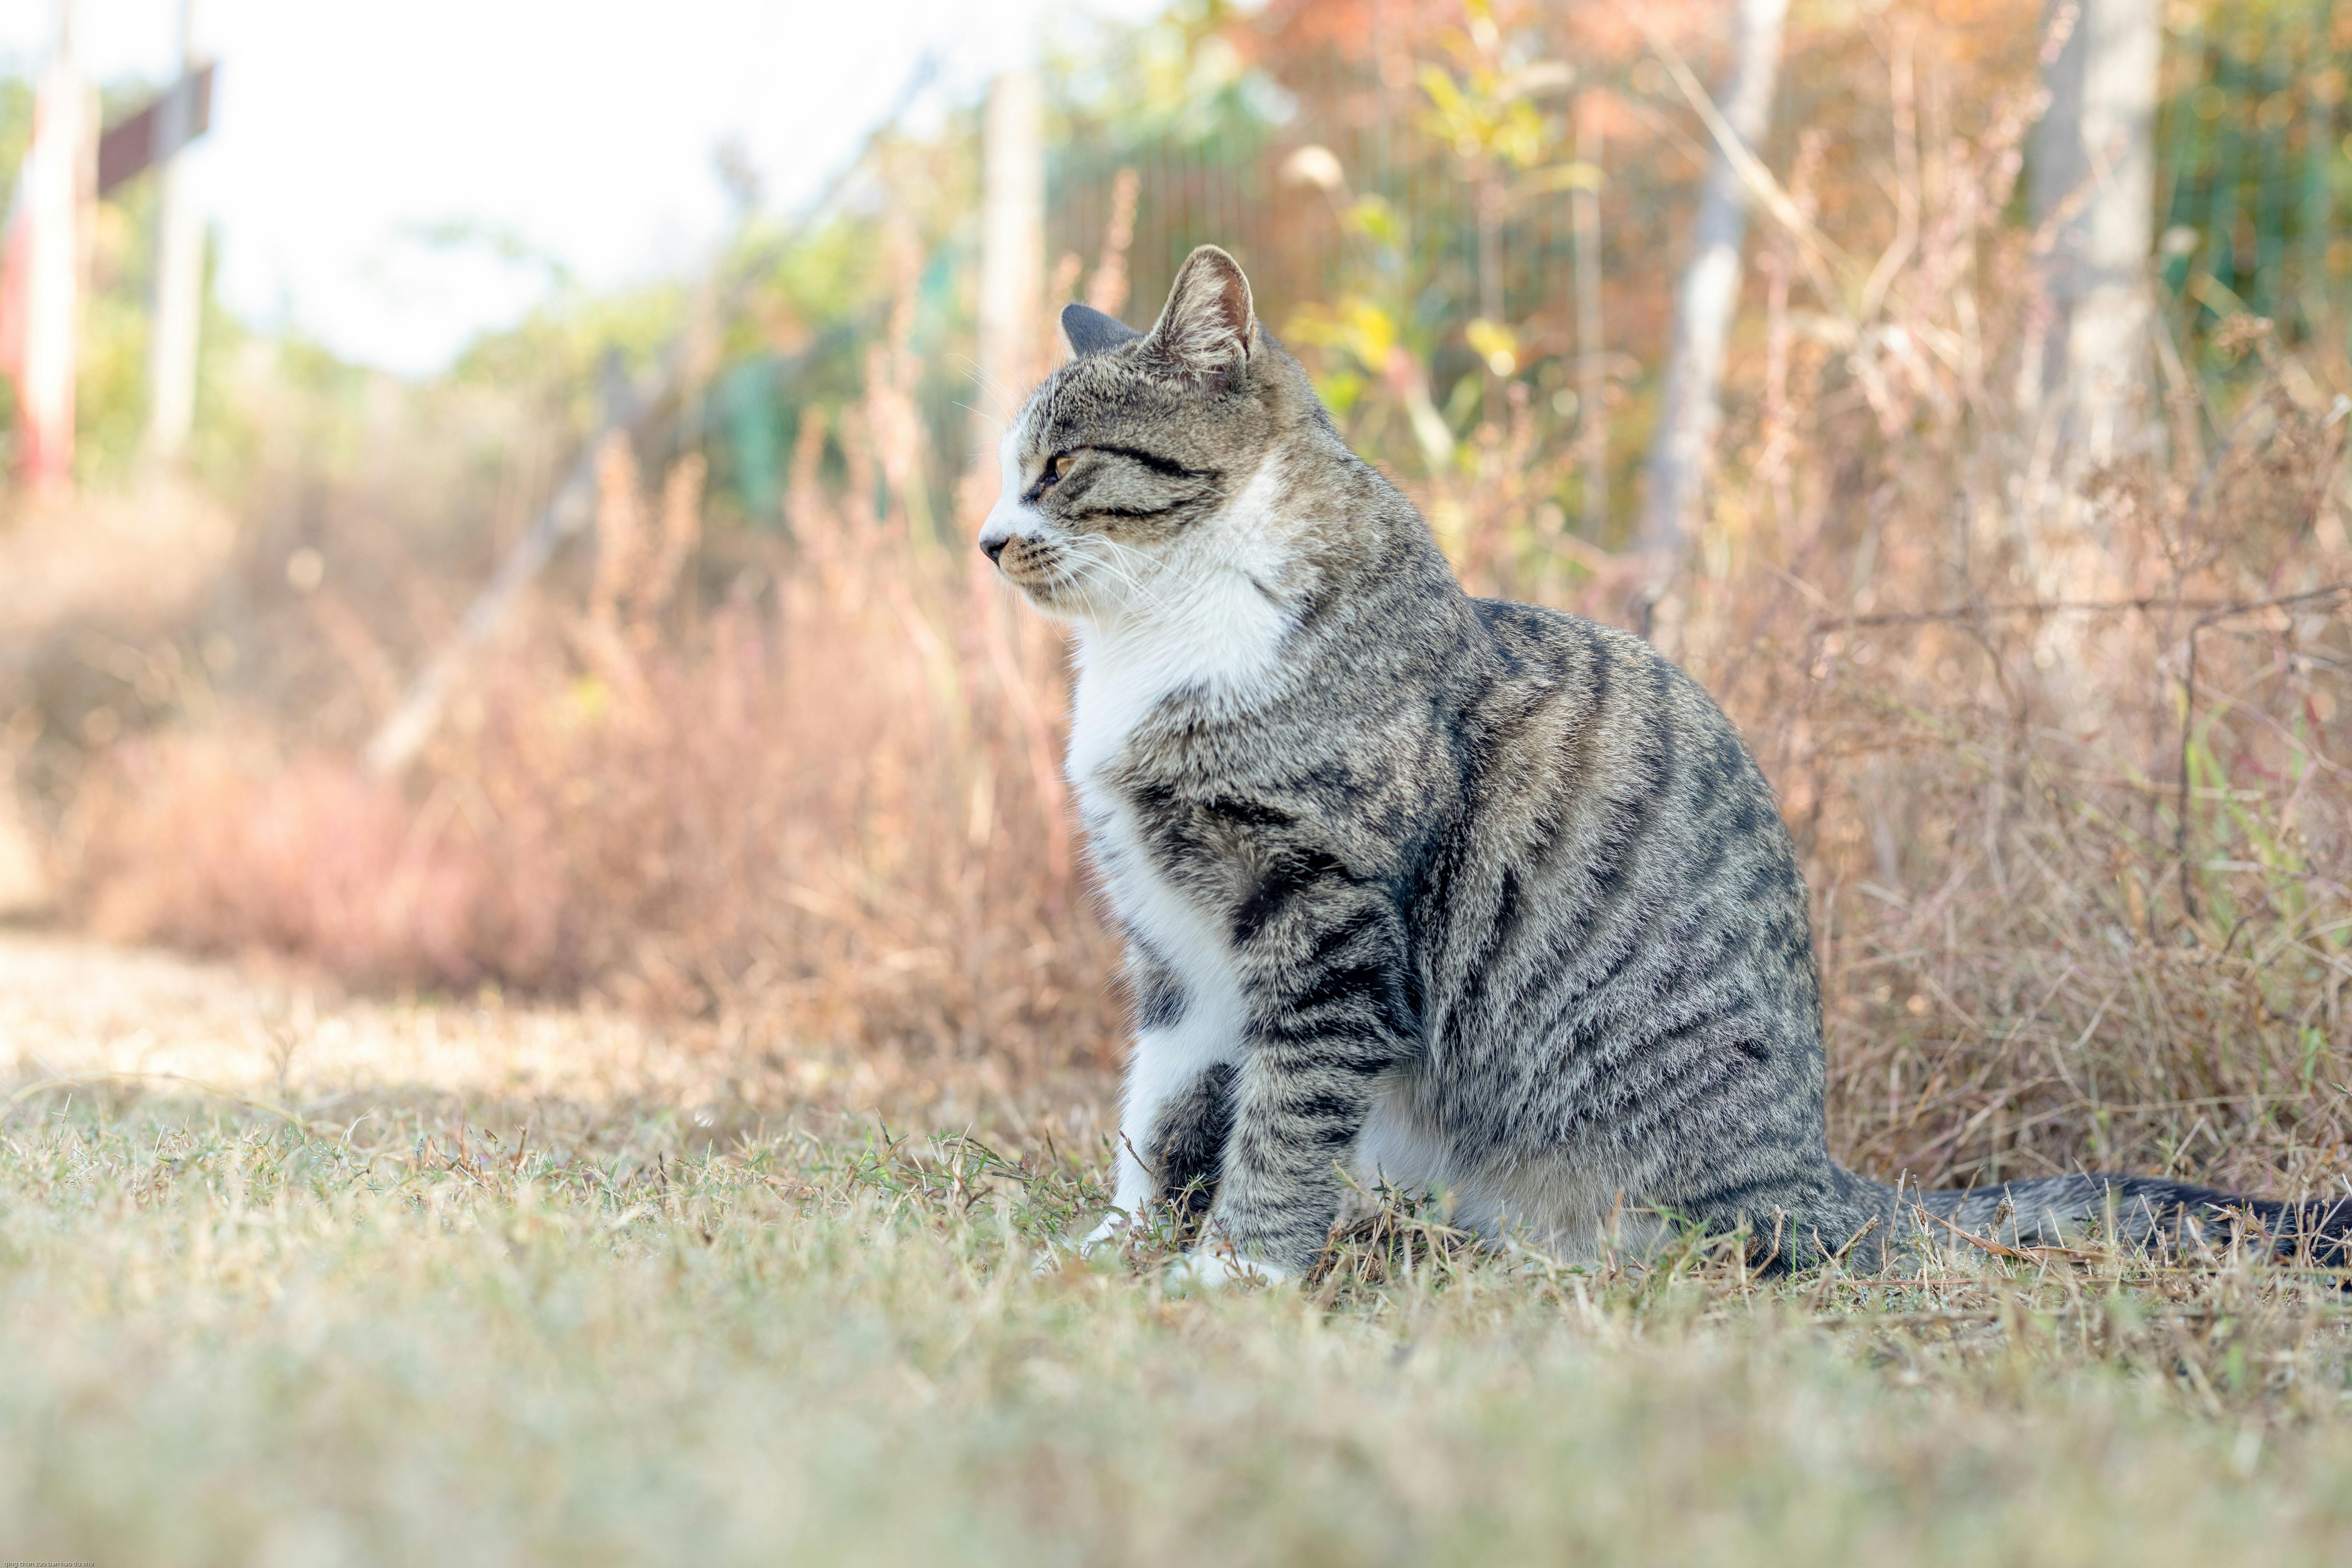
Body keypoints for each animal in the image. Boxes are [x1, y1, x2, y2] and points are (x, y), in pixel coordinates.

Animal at [983, 240, 2343, 1279]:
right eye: (1011, 471)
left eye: (1062, 464)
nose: (988, 540)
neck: (1151, 634)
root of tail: (1818, 1176)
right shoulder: (1176, 953)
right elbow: (1154, 1114)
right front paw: (1112, 1250)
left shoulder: (1330, 929)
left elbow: (1282, 1117)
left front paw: (1237, 1270)